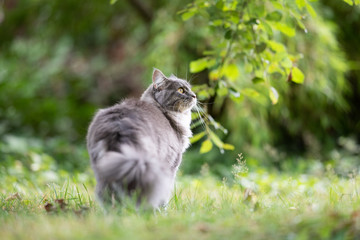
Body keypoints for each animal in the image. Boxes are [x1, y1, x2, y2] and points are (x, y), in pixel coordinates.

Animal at [87, 68, 197, 208]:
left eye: (190, 89)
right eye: (181, 90)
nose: (194, 96)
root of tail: (117, 125)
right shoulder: (171, 165)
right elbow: (165, 194)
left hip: (103, 168)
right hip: (145, 166)